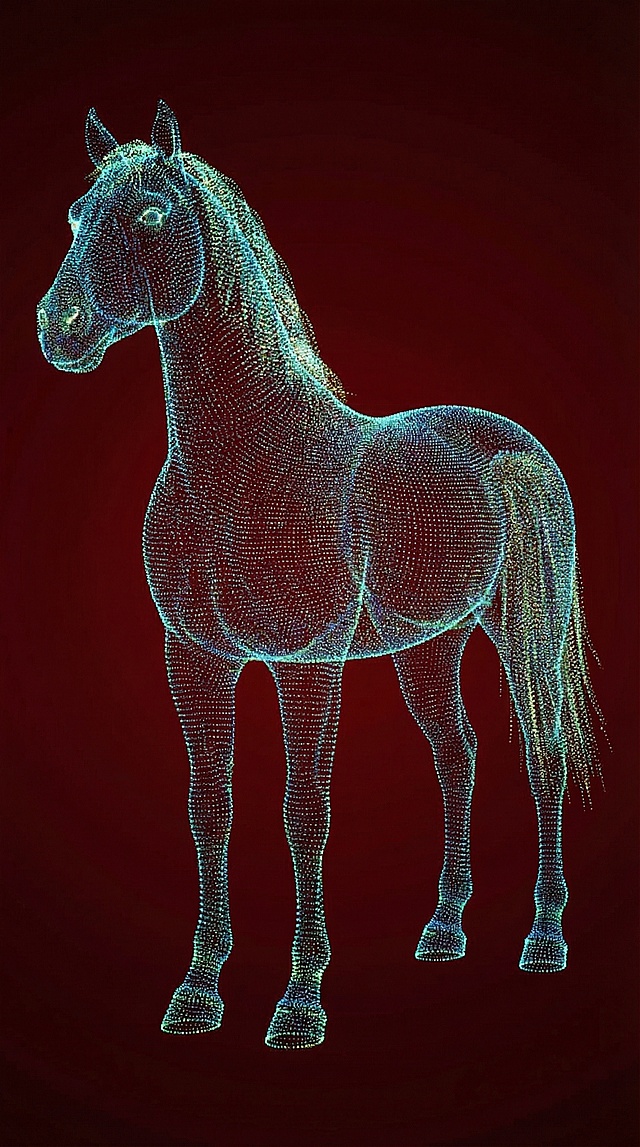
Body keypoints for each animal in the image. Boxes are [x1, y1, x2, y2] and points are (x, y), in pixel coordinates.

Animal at [37, 101, 602, 1050]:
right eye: (79, 215)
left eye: (151, 214)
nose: (59, 326)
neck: (243, 465)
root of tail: (510, 445)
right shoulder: (196, 658)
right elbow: (209, 808)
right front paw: (198, 989)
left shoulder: (309, 664)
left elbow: (305, 812)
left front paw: (300, 1001)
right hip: (428, 645)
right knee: (458, 754)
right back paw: (443, 929)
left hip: (526, 630)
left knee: (544, 753)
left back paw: (545, 937)